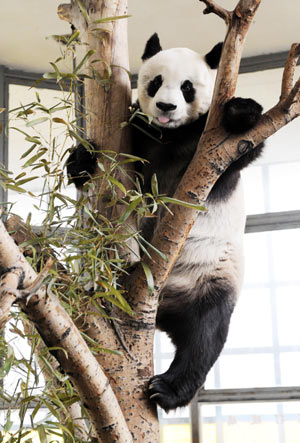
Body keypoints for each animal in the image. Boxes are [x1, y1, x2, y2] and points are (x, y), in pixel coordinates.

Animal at [67, 33, 264, 412]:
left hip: (212, 280)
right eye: (155, 82)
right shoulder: (138, 135)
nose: (166, 107)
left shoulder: (211, 150)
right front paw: (82, 159)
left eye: (188, 87)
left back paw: (167, 389)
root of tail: (162, 311)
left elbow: (244, 146)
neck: (170, 135)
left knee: (205, 336)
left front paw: (241, 111)